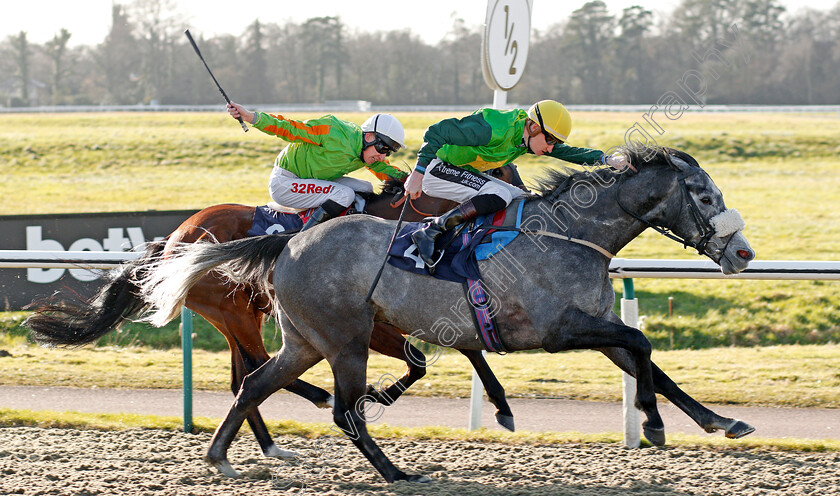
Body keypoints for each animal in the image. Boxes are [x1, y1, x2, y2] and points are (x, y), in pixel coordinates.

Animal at [26, 166, 520, 458]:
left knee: (243, 376)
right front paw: (374, 396)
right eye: (504, 178)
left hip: (237, 315)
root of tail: (173, 239)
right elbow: (419, 361)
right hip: (236, 311)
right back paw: (317, 401)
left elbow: (465, 350)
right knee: (258, 367)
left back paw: (269, 446)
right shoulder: (369, 323)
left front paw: (500, 404)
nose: (519, 203)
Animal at [138, 145, 756, 482]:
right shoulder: (558, 330)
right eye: (704, 196)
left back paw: (221, 456)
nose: (744, 254)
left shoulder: (595, 329)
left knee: (255, 383)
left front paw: (719, 421)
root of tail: (287, 241)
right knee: (342, 410)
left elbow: (650, 361)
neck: (570, 234)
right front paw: (650, 421)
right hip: (345, 340)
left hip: (306, 341)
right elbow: (642, 344)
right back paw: (394, 471)